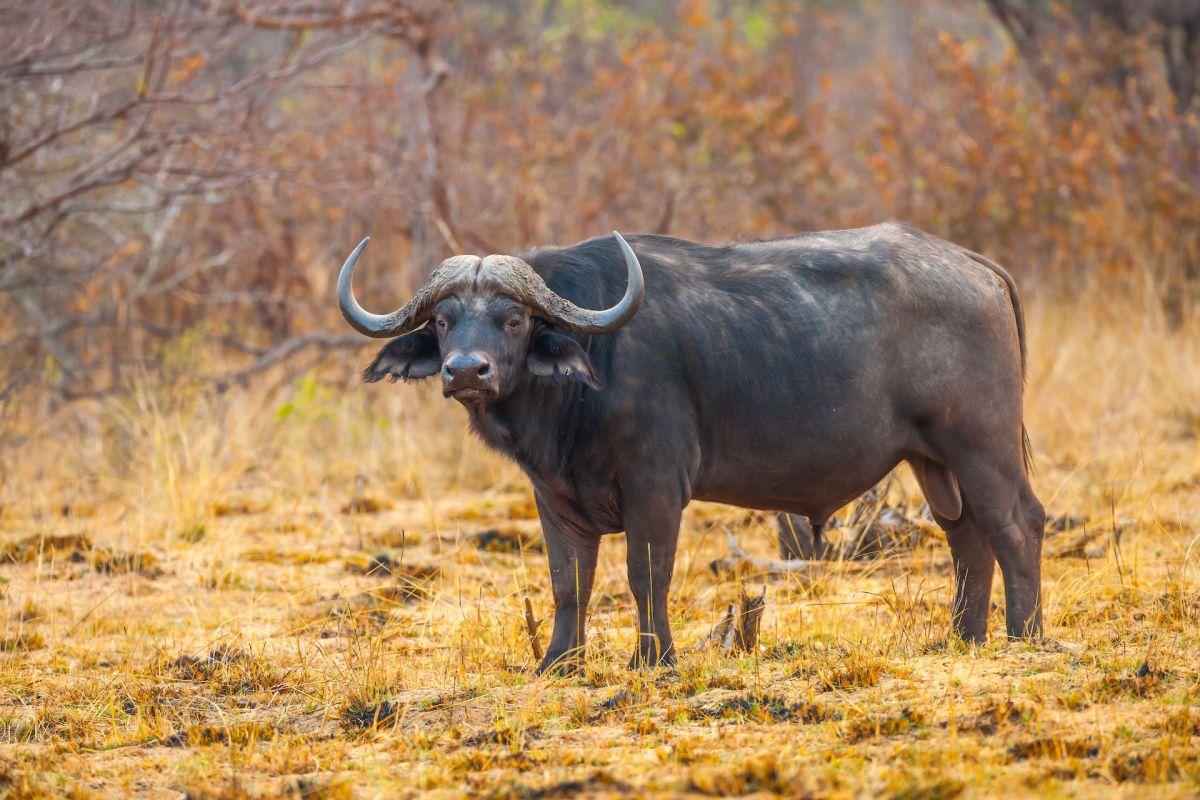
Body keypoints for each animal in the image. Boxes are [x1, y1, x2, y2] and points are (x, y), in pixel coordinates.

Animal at [338, 221, 1041, 671]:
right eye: (443, 320)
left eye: (513, 318)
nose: (466, 371)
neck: (592, 371)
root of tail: (975, 266)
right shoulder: (555, 498)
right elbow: (569, 582)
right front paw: (558, 663)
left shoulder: (655, 486)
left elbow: (646, 573)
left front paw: (652, 659)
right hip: (934, 462)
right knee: (966, 536)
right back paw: (964, 638)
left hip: (981, 444)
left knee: (1017, 524)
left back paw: (1023, 635)